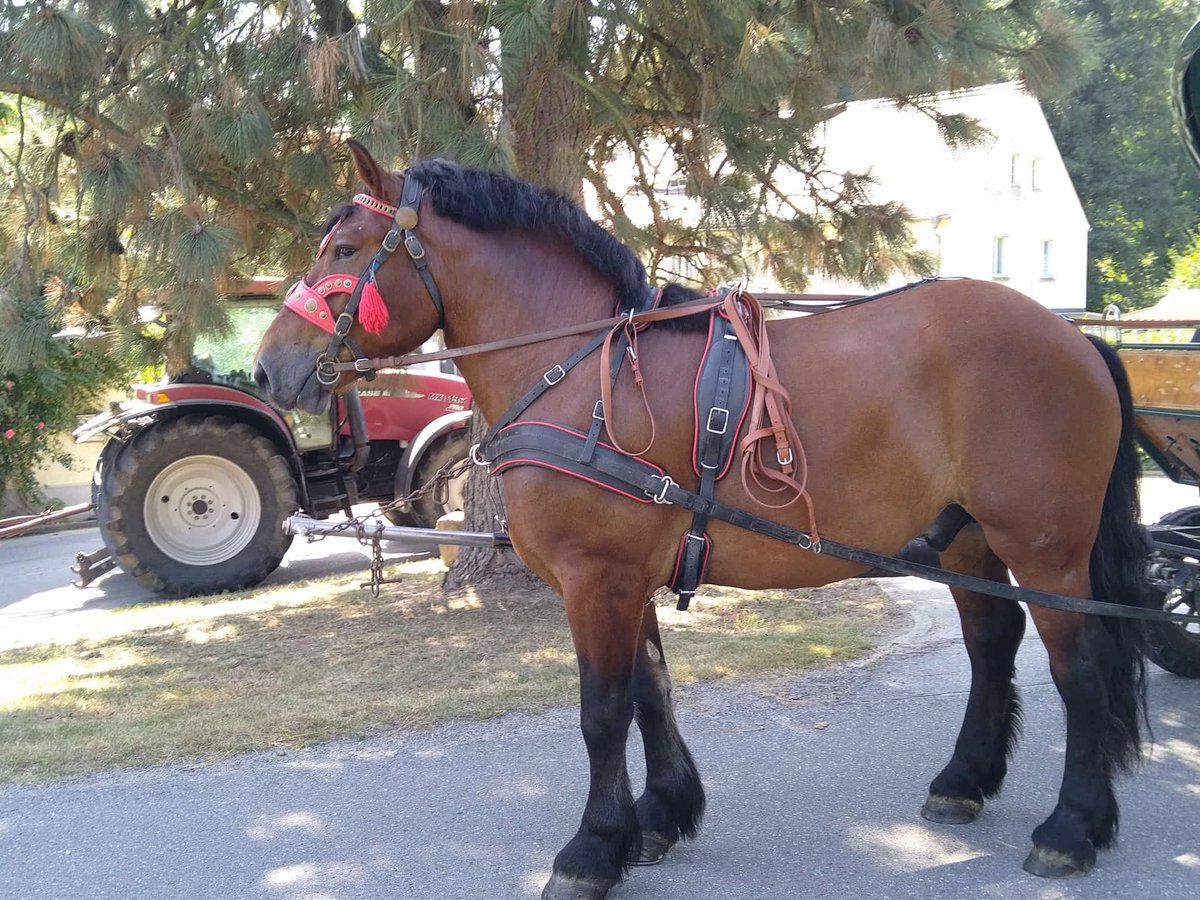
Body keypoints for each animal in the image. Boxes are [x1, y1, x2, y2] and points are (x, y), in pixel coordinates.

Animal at [253, 142, 1152, 900]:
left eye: (344, 250)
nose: (267, 369)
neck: (585, 368)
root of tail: (1074, 338)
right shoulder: (628, 578)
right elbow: (651, 691)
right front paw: (659, 816)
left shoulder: (597, 580)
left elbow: (603, 712)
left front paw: (592, 849)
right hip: (966, 539)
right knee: (992, 645)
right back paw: (964, 780)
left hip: (1048, 549)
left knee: (1079, 670)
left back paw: (1072, 827)